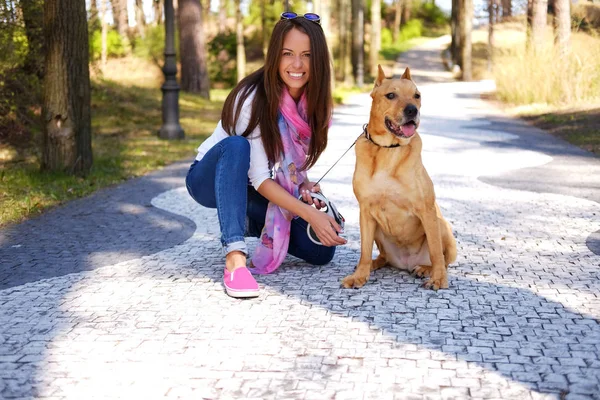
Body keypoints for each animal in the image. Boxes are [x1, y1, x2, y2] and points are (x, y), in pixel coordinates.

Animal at [340, 65, 458, 290]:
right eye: (391, 95)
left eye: (417, 95)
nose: (412, 110)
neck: (389, 149)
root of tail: (406, 263)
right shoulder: (365, 212)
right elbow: (364, 250)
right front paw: (360, 275)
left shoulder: (426, 210)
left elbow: (436, 251)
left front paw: (438, 279)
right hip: (378, 229)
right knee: (382, 256)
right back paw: (373, 265)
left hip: (441, 225)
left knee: (441, 257)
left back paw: (426, 269)